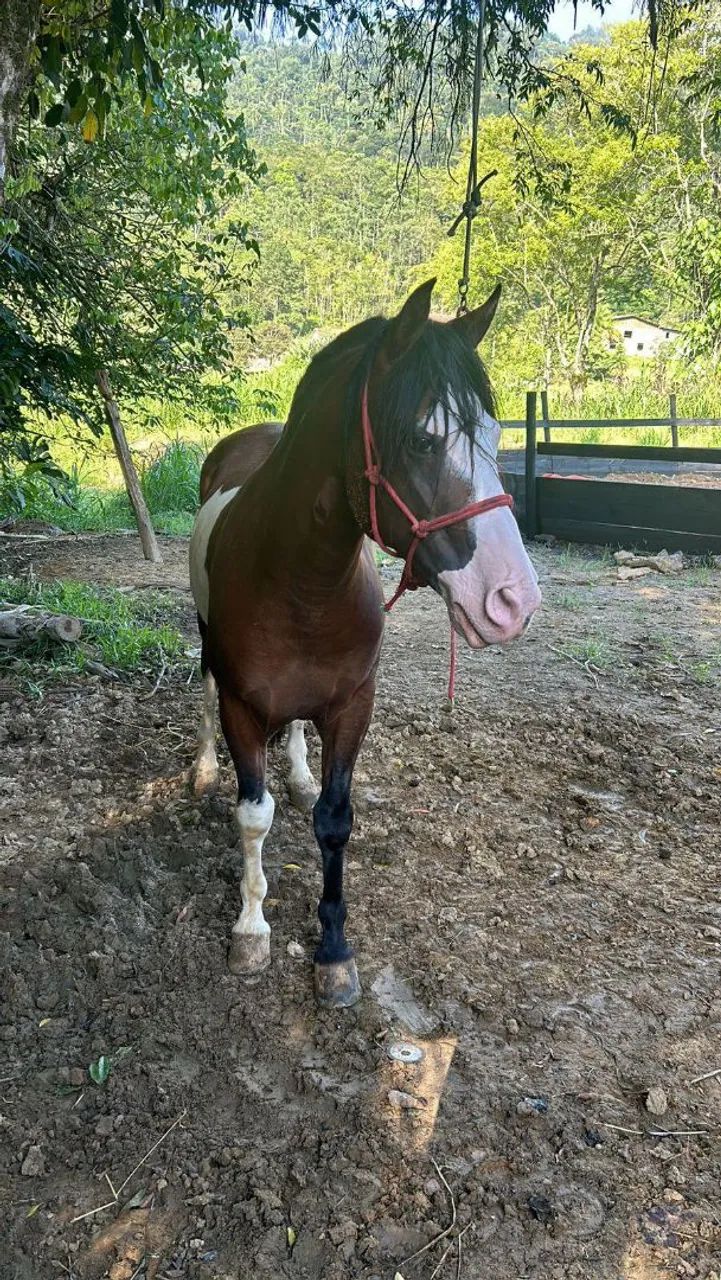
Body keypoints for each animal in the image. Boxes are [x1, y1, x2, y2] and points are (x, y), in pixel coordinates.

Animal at [189, 278, 541, 1008]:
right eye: (422, 440)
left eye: (495, 434)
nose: (513, 601)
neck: (300, 583)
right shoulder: (242, 707)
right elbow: (253, 818)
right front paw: (251, 930)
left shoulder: (352, 705)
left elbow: (334, 820)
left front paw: (333, 952)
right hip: (207, 655)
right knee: (201, 697)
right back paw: (202, 767)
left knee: (296, 732)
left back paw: (296, 774)